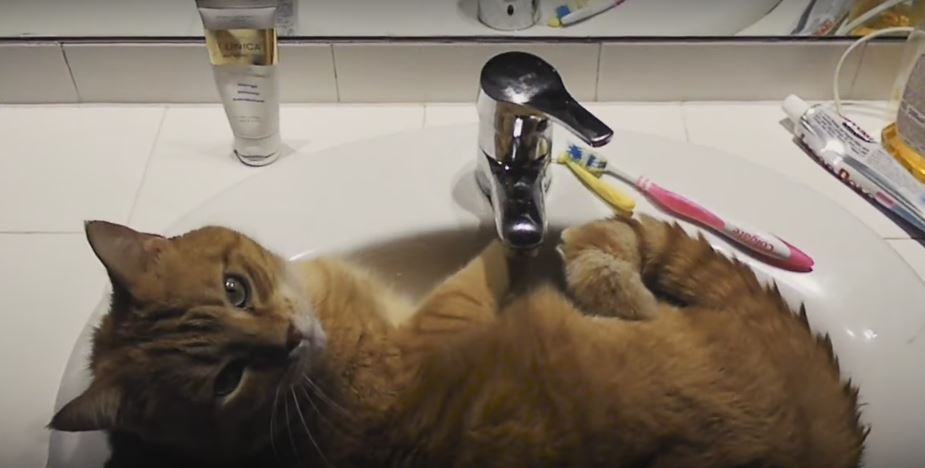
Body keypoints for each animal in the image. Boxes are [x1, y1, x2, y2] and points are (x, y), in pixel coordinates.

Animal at [50, 217, 864, 468]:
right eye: (224, 381)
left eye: (234, 289)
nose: (288, 339)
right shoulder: (448, 313)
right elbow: (490, 261)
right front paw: (525, 236)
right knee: (618, 278)